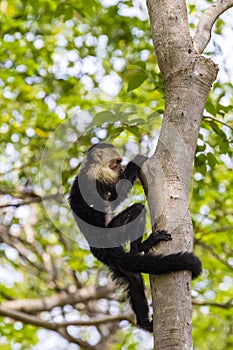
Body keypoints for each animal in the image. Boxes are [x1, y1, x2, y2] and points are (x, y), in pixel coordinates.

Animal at [69, 144, 202, 332]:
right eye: (116, 162)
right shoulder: (99, 174)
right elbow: (117, 193)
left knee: (134, 279)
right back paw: (141, 247)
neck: (90, 165)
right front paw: (138, 159)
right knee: (138, 209)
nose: (120, 168)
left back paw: (144, 321)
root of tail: (95, 246)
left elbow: (114, 199)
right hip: (110, 235)